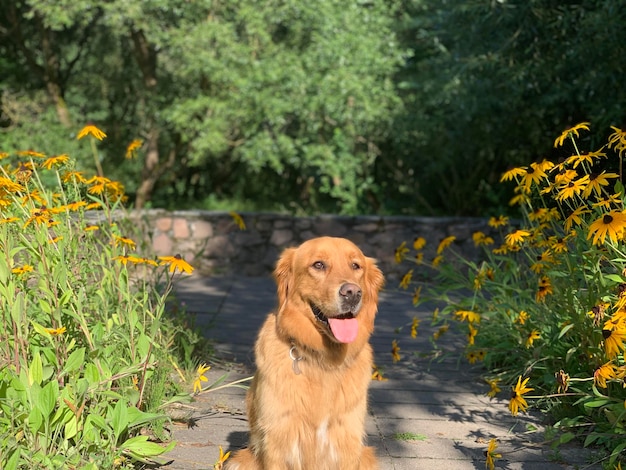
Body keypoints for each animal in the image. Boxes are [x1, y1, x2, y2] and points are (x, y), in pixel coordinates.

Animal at [224, 239, 380, 470]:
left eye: (355, 266)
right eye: (318, 265)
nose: (352, 292)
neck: (324, 359)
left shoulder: (347, 438)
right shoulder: (278, 436)